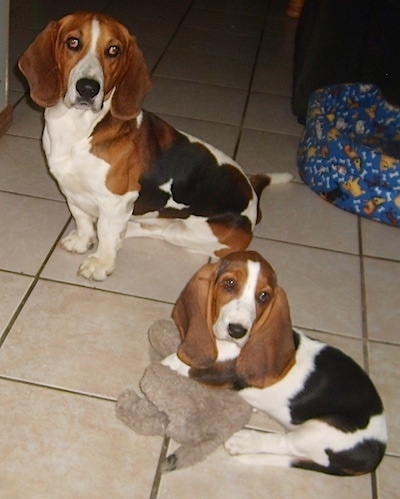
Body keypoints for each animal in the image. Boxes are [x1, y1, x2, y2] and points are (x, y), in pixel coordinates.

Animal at [18, 12, 290, 282]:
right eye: (73, 42)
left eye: (113, 50)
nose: (88, 88)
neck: (78, 127)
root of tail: (253, 199)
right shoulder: (70, 188)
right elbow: (81, 217)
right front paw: (83, 240)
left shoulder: (117, 200)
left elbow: (106, 233)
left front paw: (101, 263)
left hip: (190, 232)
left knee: (155, 232)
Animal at [163, 252, 388, 478]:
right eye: (229, 283)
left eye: (263, 296)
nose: (237, 331)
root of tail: (379, 452)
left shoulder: (217, 373)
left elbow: (179, 365)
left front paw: (167, 364)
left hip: (323, 430)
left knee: (287, 443)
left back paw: (245, 441)